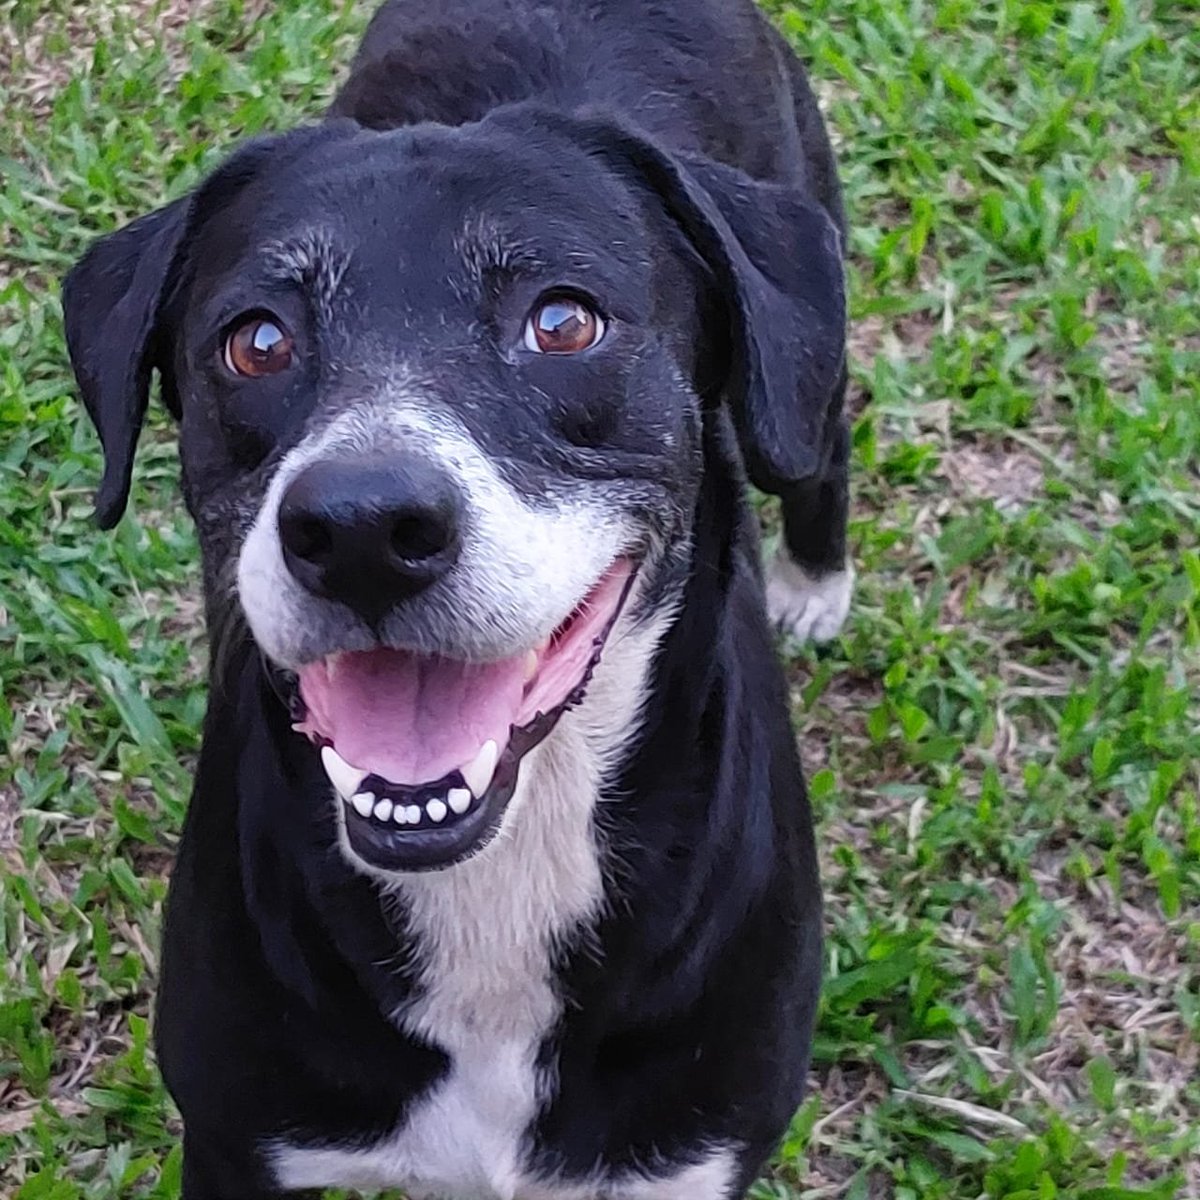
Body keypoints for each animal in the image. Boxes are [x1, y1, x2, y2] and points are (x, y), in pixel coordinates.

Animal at [63, 4, 854, 1195]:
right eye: (256, 340)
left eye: (563, 322)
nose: (362, 532)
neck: (500, 869)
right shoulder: (241, 1137)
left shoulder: (690, 1152)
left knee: (815, 440)